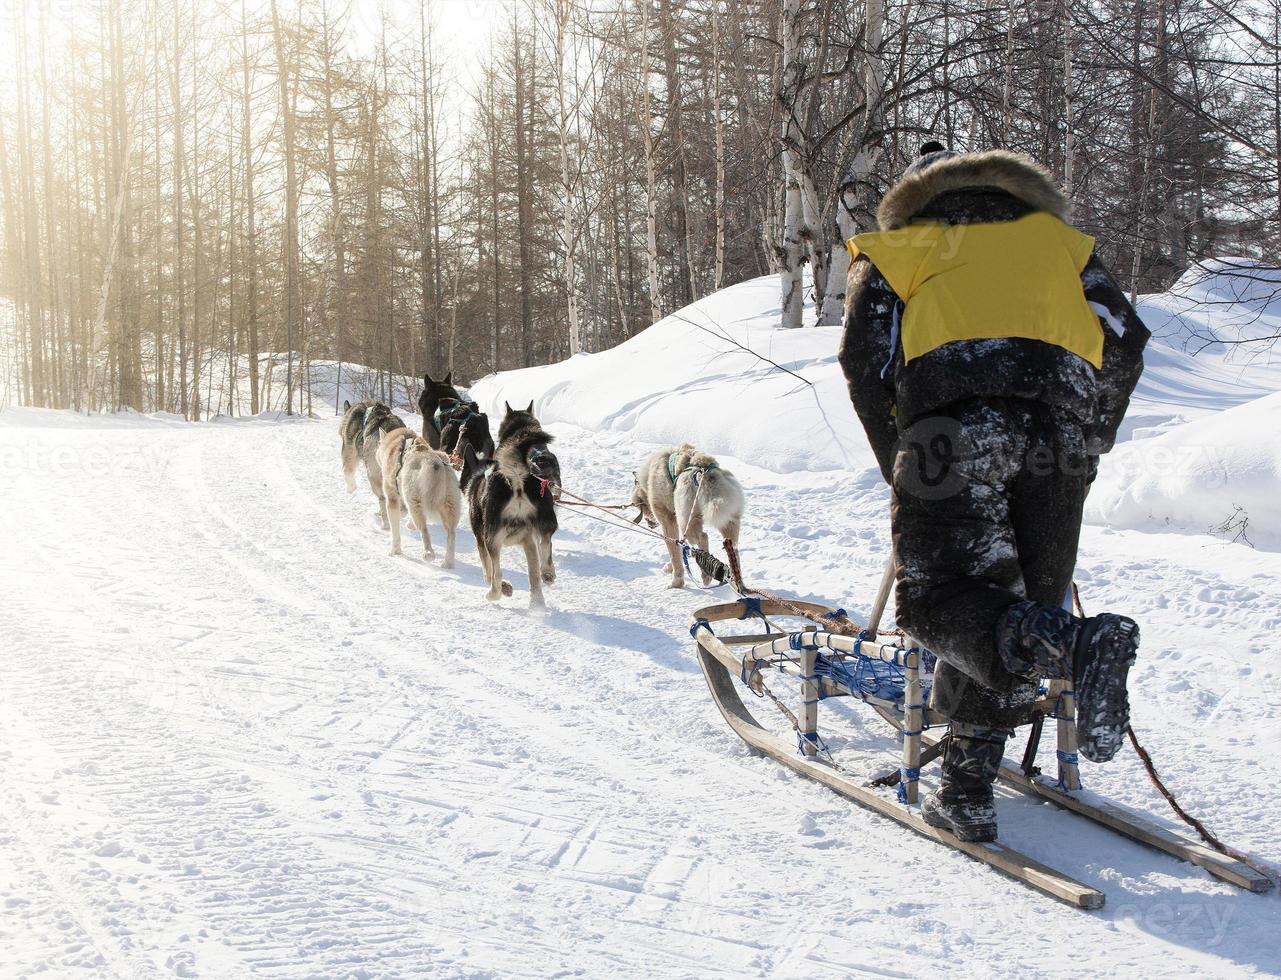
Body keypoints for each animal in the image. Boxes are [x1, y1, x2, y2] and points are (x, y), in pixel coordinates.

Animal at [340, 397, 404, 527]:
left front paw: (351, 489)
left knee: (383, 498)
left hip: (373, 476)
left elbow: (348, 473)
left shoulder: (349, 453)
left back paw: (385, 523)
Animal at [374, 425, 461, 561]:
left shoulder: (392, 498)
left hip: (414, 501)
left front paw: (395, 551)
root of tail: (435, 464)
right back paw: (447, 563)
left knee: (424, 530)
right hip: (450, 506)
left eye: (378, 443)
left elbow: (395, 531)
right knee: (451, 534)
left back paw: (428, 553)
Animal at [463, 402, 558, 607]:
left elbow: (488, 571)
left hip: (491, 539)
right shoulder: (528, 540)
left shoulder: (481, 542)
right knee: (544, 550)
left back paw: (493, 594)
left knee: (496, 574)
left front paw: (503, 587)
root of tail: (517, 479)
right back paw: (545, 580)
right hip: (545, 520)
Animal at [632, 443, 748, 589]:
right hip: (728, 521)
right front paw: (670, 567)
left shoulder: (668, 520)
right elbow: (678, 549)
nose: (649, 522)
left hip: (688, 520)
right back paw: (737, 580)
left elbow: (674, 551)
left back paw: (705, 575)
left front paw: (676, 580)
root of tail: (706, 474)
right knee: (734, 549)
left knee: (703, 537)